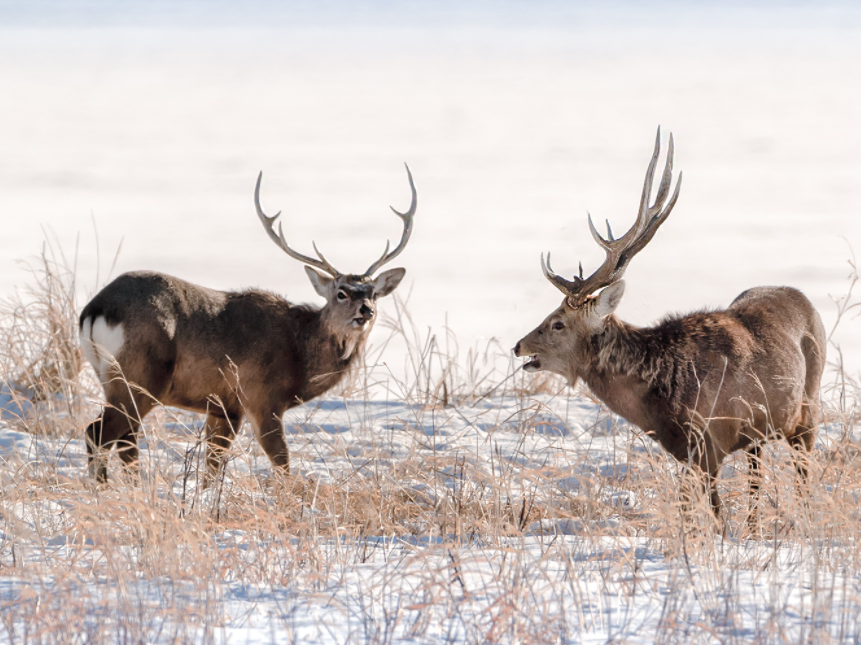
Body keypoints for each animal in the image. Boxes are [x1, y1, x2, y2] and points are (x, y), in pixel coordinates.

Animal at [80, 164, 416, 480]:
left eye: (373, 293)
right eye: (341, 293)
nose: (366, 310)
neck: (299, 355)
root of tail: (95, 310)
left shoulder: (224, 406)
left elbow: (213, 465)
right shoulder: (260, 396)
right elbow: (281, 462)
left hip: (116, 378)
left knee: (126, 441)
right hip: (140, 375)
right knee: (98, 432)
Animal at [512, 131, 824, 520]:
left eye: (557, 323)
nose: (519, 345)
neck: (665, 395)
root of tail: (804, 299)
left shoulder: (709, 442)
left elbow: (713, 514)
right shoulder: (687, 450)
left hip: (808, 411)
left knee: (802, 475)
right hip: (759, 435)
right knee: (757, 480)